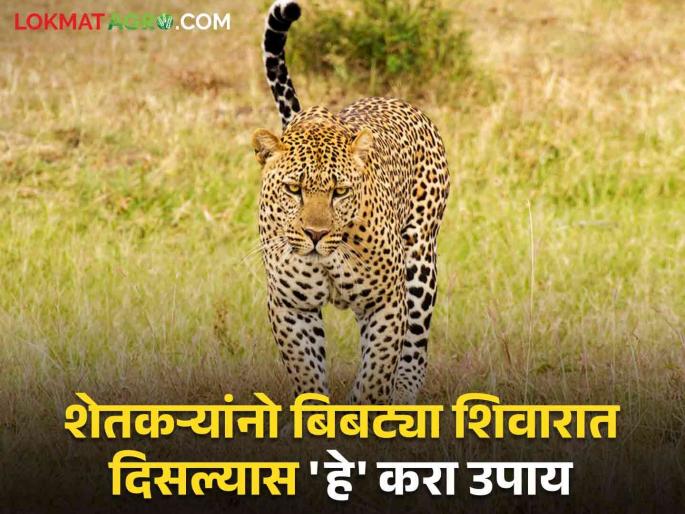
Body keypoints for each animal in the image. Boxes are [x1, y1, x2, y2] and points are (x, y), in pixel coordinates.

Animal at [251, 0, 450, 404]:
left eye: (339, 192)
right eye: (293, 189)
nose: (314, 234)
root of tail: (396, 99)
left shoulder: (386, 302)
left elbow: (375, 376)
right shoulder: (291, 307)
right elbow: (307, 374)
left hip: (421, 264)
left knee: (414, 350)